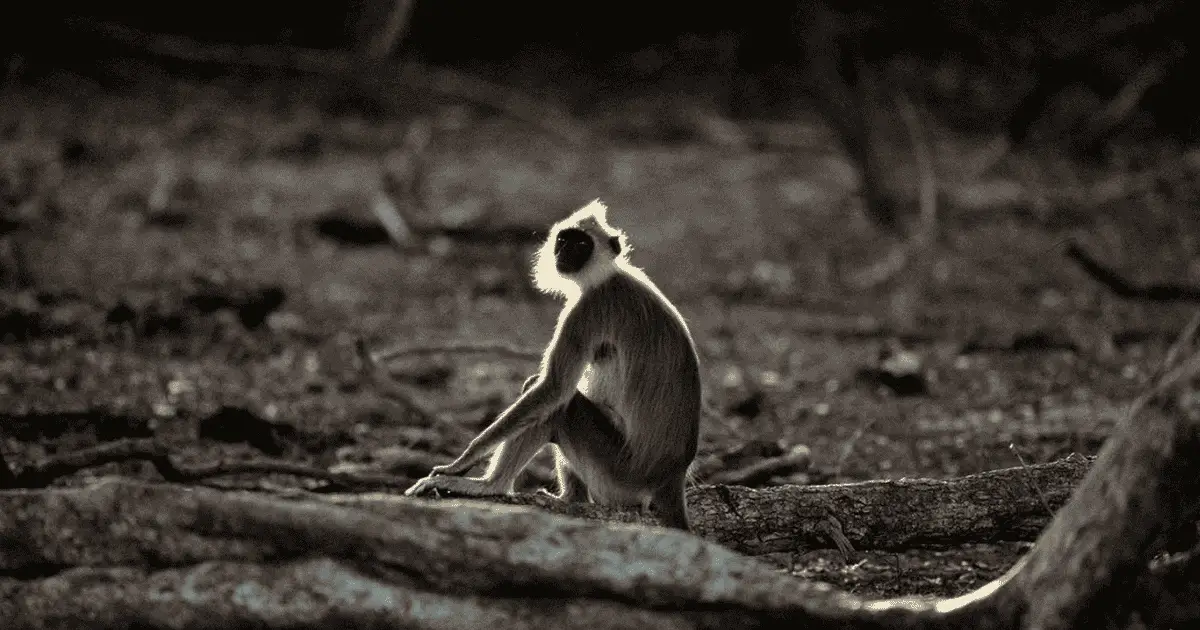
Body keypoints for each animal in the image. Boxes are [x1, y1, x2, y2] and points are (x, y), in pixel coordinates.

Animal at [404, 200, 702, 530]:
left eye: (582, 244)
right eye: (564, 240)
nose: (565, 253)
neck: (606, 277)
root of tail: (671, 477)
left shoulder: (587, 310)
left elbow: (554, 388)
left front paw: (459, 465)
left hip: (619, 475)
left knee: (560, 404)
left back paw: (490, 486)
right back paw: (571, 498)